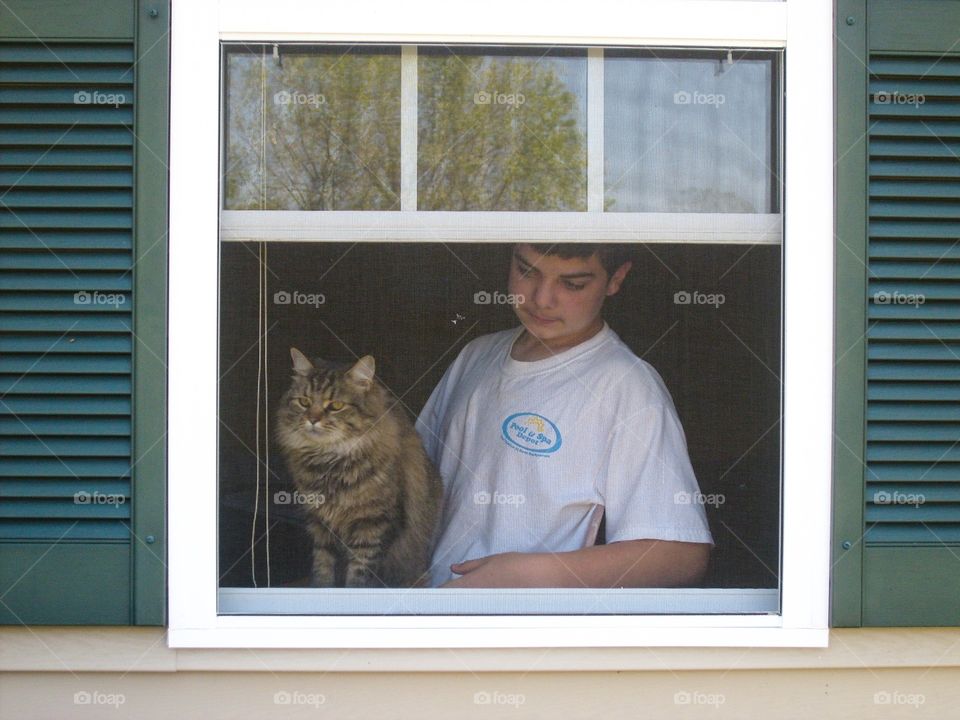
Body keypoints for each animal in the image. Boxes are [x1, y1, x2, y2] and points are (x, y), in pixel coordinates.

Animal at [276, 348, 444, 592]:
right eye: (304, 402)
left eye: (335, 406)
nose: (312, 420)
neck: (329, 460)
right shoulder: (320, 524)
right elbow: (323, 568)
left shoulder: (373, 524)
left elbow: (359, 575)